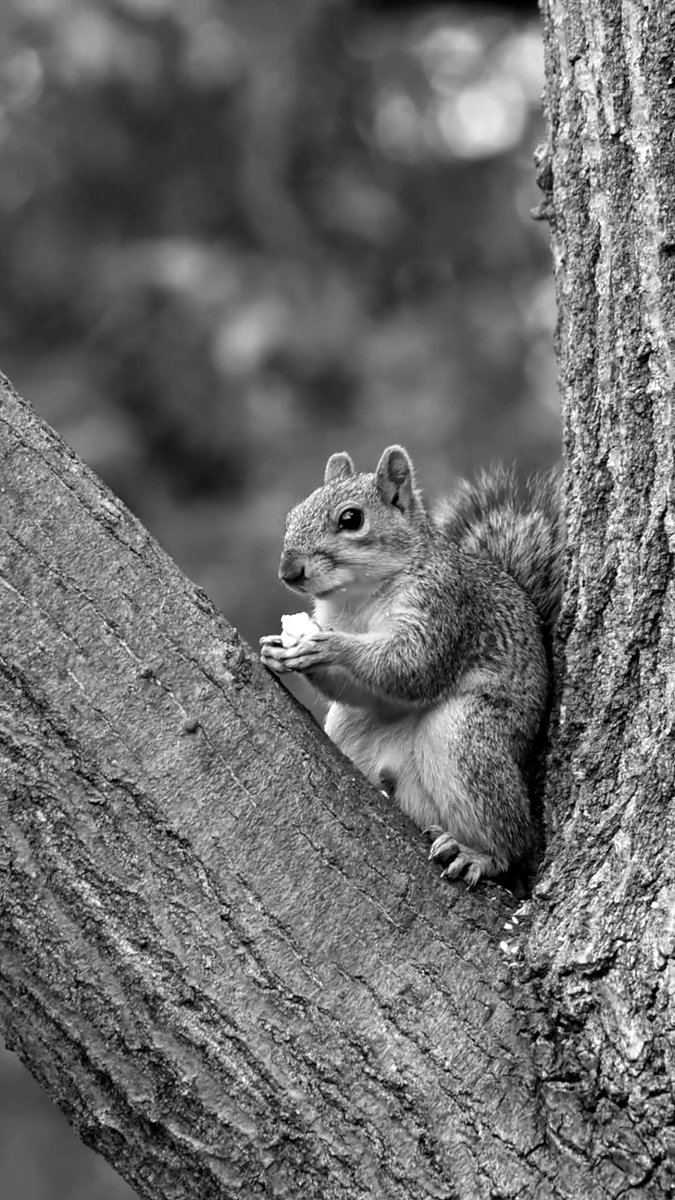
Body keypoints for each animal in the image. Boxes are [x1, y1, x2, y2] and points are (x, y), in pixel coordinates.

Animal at [260, 446, 563, 886]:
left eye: (351, 519)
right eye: (292, 515)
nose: (288, 571)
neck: (361, 595)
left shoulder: (445, 607)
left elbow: (413, 665)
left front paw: (330, 646)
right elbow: (357, 688)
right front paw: (278, 650)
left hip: (463, 734)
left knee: (515, 839)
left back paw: (480, 855)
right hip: (352, 730)